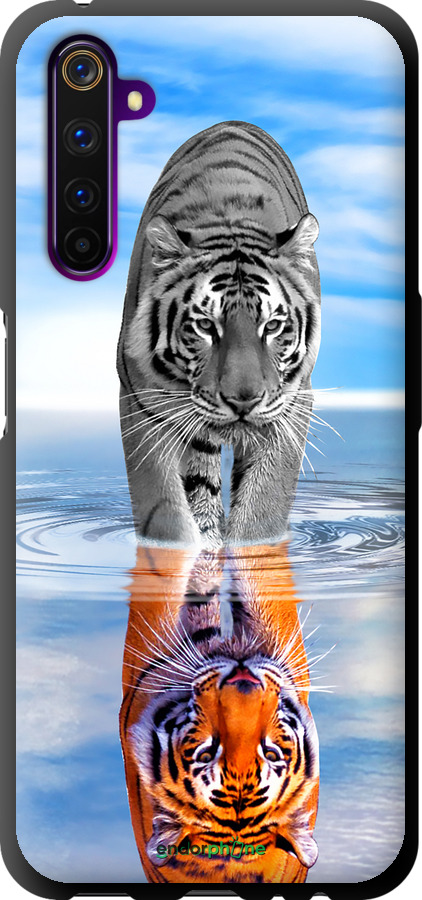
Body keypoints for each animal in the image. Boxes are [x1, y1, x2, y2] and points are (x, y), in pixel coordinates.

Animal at [117, 121, 321, 548]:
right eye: (206, 326)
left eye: (272, 326)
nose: (244, 401)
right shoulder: (141, 401)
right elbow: (165, 512)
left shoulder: (292, 404)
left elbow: (263, 509)